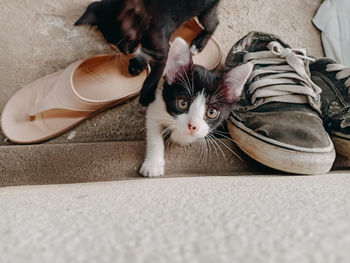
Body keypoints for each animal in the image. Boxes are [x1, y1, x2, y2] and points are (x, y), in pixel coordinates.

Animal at [75, 0, 220, 108]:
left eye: (129, 38)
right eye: (112, 42)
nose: (126, 52)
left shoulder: (163, 52)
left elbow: (153, 76)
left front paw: (146, 95)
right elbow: (143, 52)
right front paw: (137, 64)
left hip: (205, 11)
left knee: (213, 23)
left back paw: (198, 44)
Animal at [139, 37, 252, 177]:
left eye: (212, 112)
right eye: (183, 103)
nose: (193, 126)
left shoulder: (204, 129)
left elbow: (195, 134)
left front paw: (177, 135)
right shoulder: (157, 105)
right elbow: (154, 136)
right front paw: (153, 165)